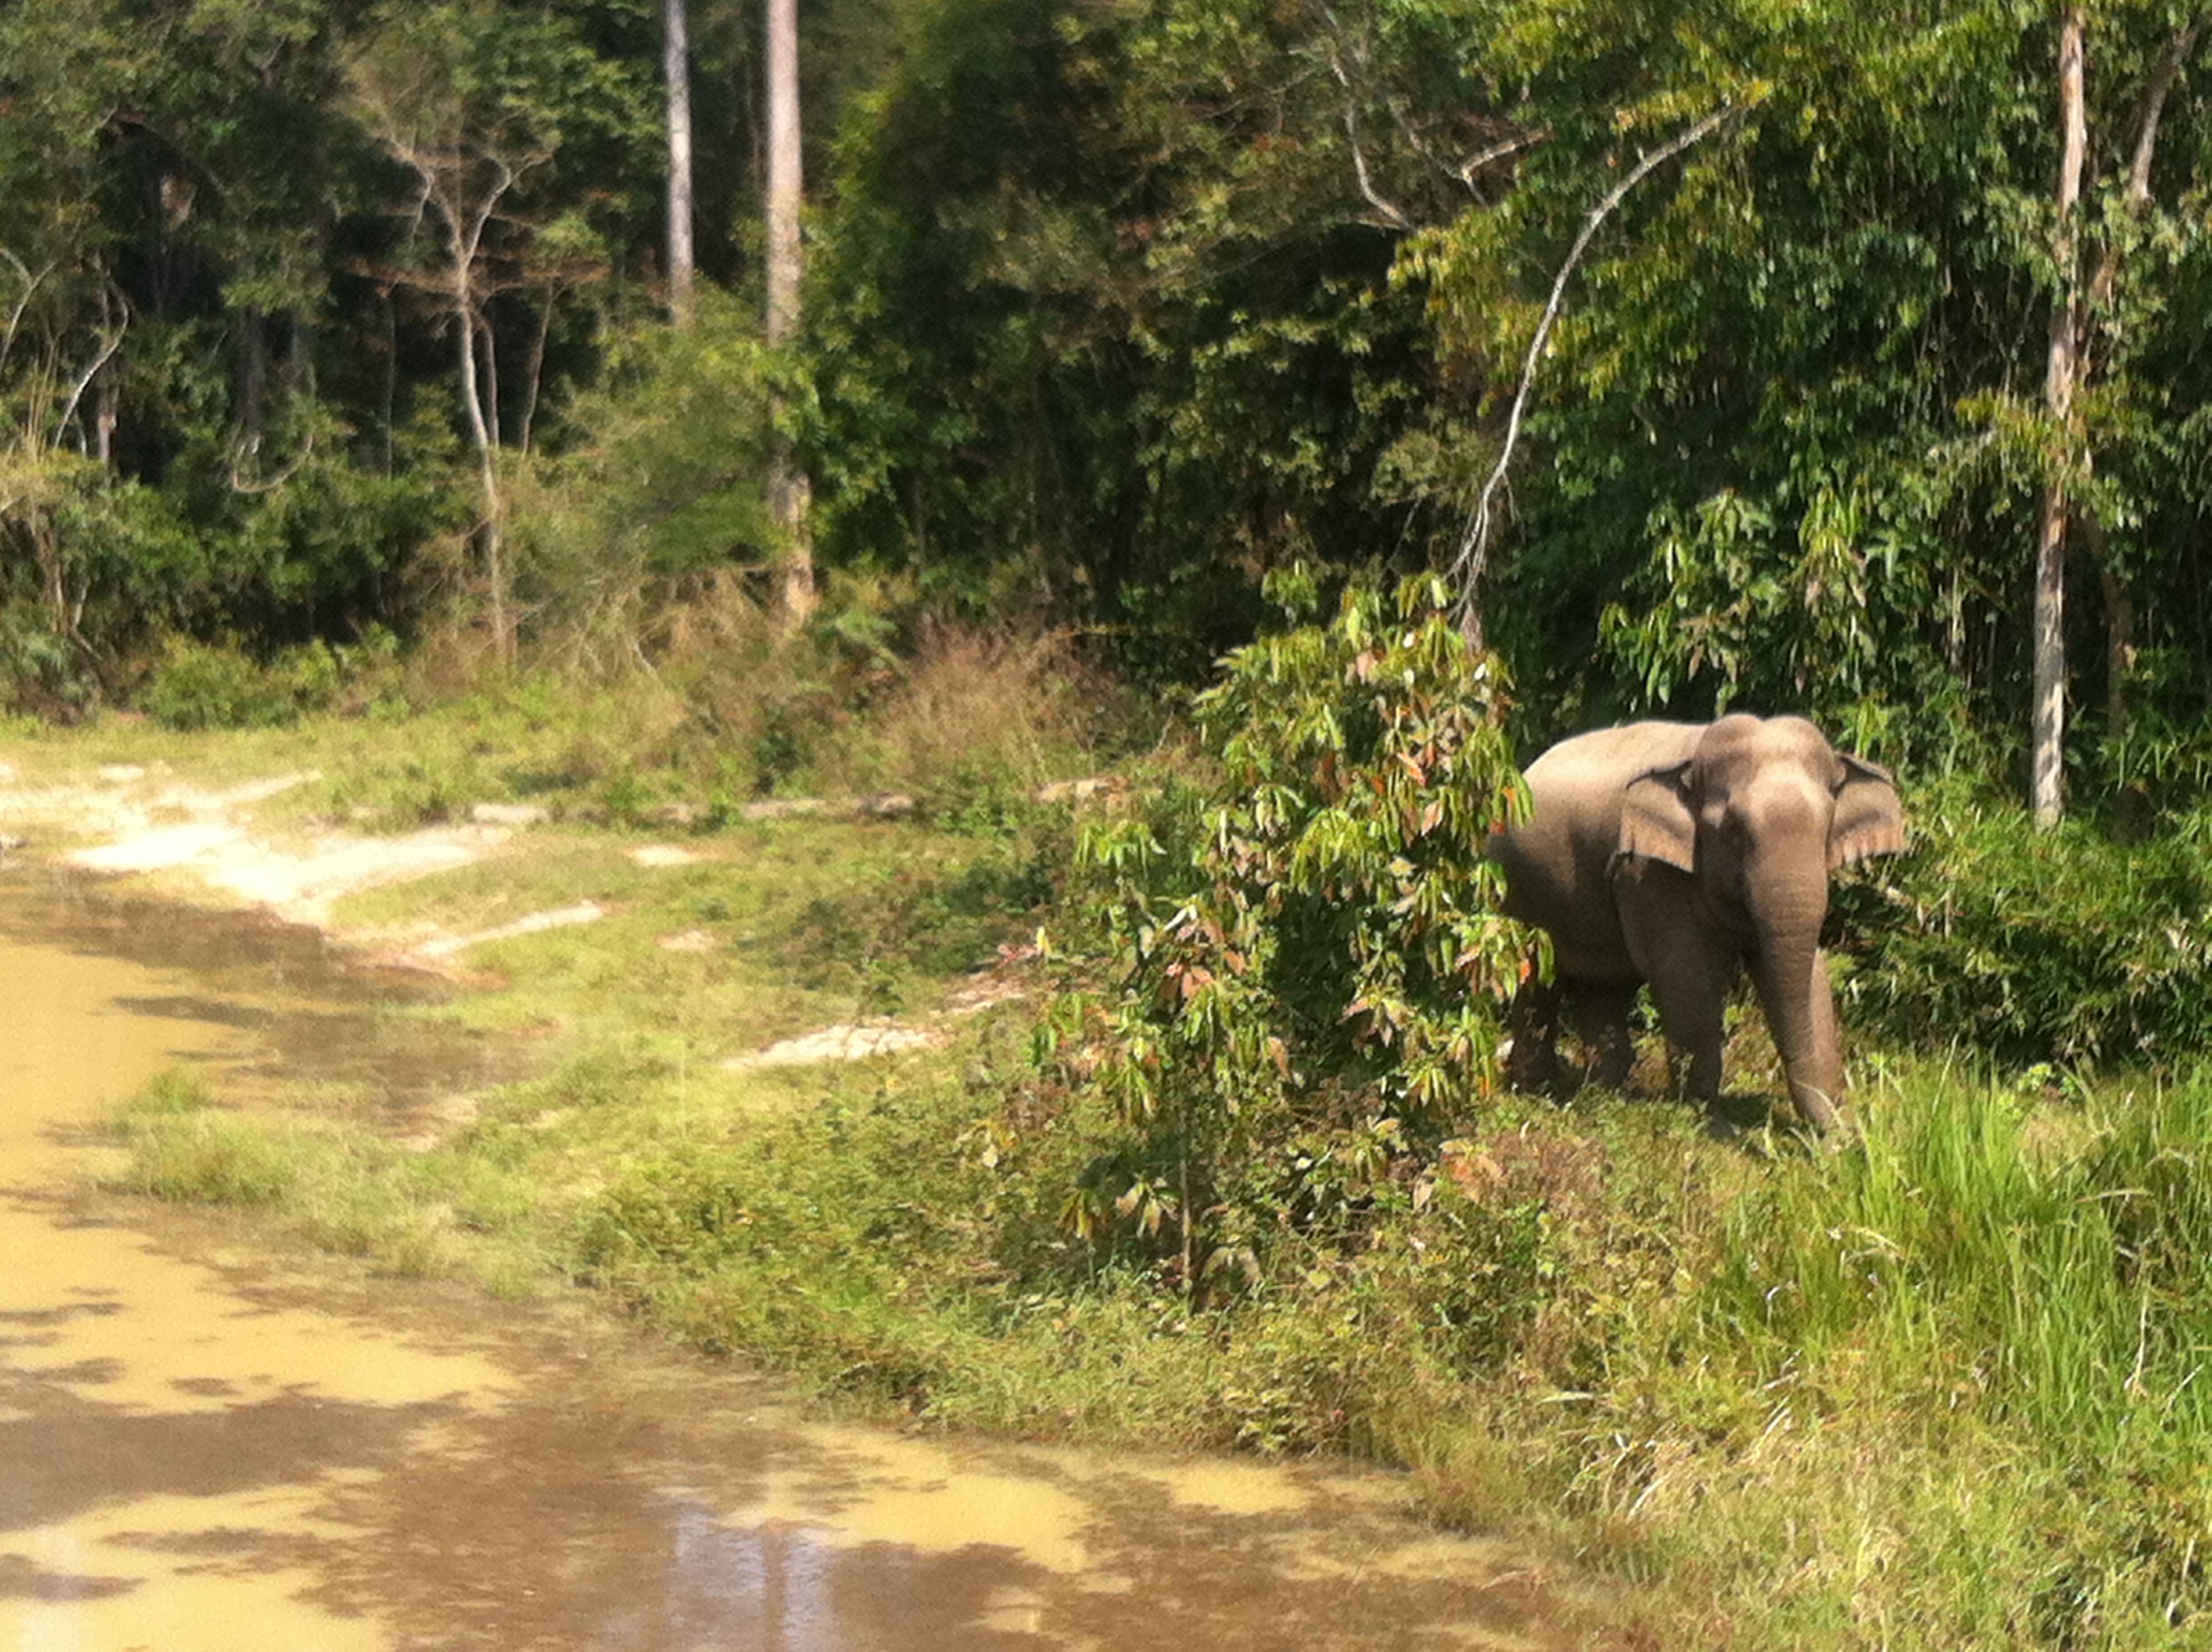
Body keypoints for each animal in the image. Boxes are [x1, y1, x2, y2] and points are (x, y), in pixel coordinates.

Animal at [1485, 713, 1905, 1133]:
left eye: (1827, 826)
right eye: (1733, 831)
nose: (1847, 1134)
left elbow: (1811, 976)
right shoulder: (1648, 872)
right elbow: (1686, 977)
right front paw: (1703, 1116)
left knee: (1604, 988)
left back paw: (1607, 1093)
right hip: (1515, 889)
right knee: (1536, 982)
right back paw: (1539, 1089)